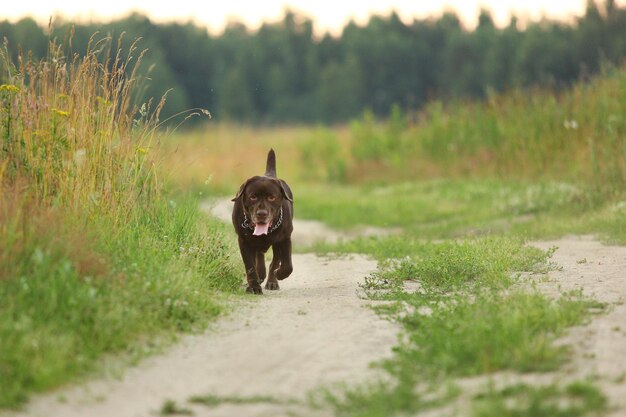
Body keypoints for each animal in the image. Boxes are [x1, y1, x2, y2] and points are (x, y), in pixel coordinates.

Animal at [230, 149, 294, 292]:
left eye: (271, 197)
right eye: (253, 196)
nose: (261, 214)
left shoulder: (284, 239)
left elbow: (287, 265)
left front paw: (279, 274)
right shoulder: (244, 241)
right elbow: (250, 266)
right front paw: (254, 286)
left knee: (274, 262)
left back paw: (272, 281)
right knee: (259, 256)